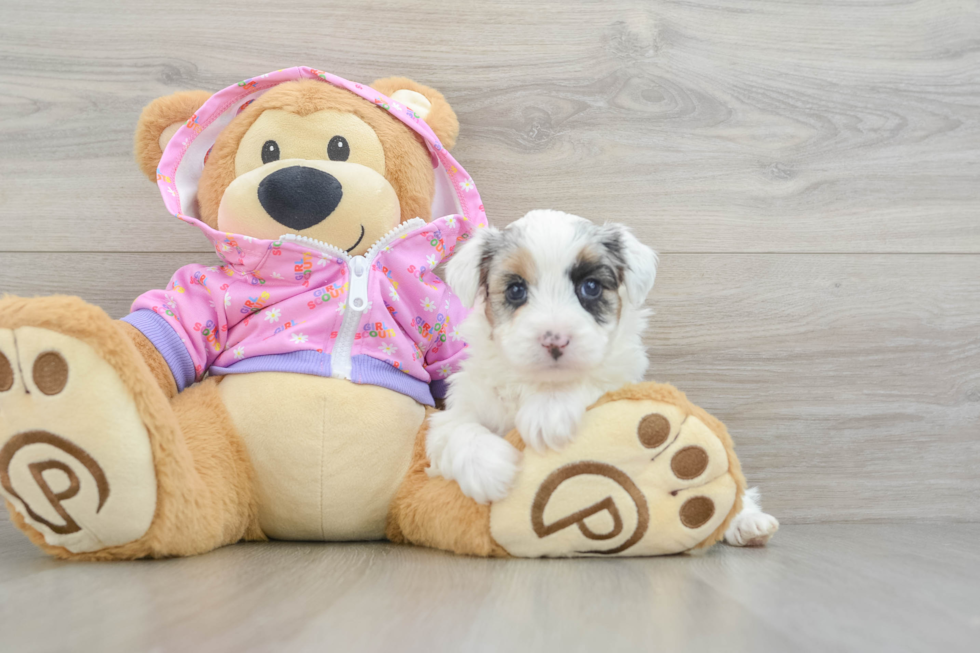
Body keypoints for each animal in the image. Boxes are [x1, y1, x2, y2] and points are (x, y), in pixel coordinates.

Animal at [432, 211, 776, 548]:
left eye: (591, 287)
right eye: (516, 290)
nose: (555, 341)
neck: (540, 382)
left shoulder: (619, 379)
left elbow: (591, 380)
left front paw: (549, 411)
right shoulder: (462, 404)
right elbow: (457, 428)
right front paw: (487, 469)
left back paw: (747, 520)